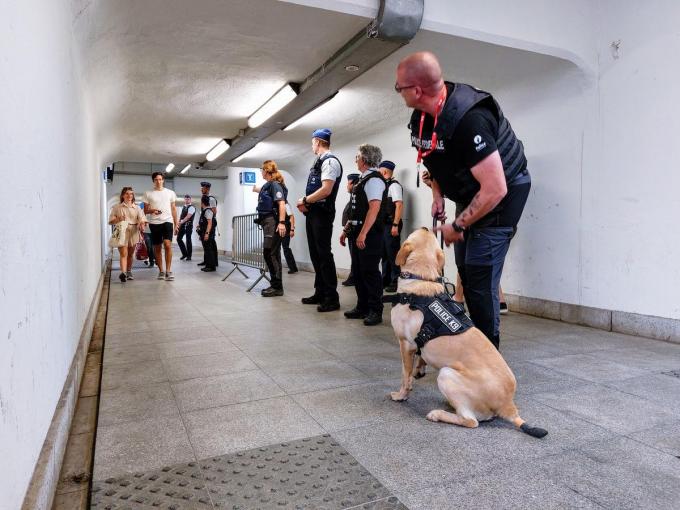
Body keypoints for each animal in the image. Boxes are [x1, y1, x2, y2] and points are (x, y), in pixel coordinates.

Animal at [388, 228, 548, 438]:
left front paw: (401, 395)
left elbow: (404, 376)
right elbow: (418, 363)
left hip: (446, 374)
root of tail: (508, 406)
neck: (423, 278)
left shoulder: (405, 344)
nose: (426, 227)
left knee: (470, 421)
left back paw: (438, 414)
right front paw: (419, 371)